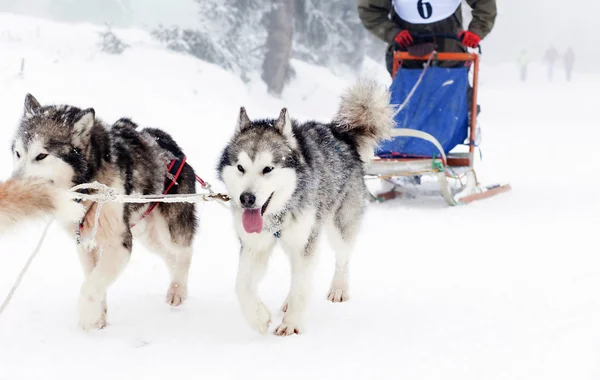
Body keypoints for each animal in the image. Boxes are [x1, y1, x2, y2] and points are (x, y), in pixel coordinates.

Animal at [10, 95, 197, 330]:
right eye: (18, 153)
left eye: (41, 155)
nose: (12, 188)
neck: (88, 188)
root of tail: (170, 144)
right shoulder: (84, 243)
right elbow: (94, 278)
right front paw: (98, 317)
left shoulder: (119, 244)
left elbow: (90, 285)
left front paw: (87, 316)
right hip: (148, 235)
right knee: (170, 256)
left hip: (169, 228)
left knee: (185, 251)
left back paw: (177, 289)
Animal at [218, 80, 396, 336]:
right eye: (241, 167)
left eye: (268, 168)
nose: (247, 199)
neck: (280, 213)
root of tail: (341, 134)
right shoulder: (254, 245)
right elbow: (242, 285)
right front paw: (259, 317)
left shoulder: (305, 243)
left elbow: (302, 286)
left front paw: (291, 324)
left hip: (338, 226)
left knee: (342, 258)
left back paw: (338, 289)